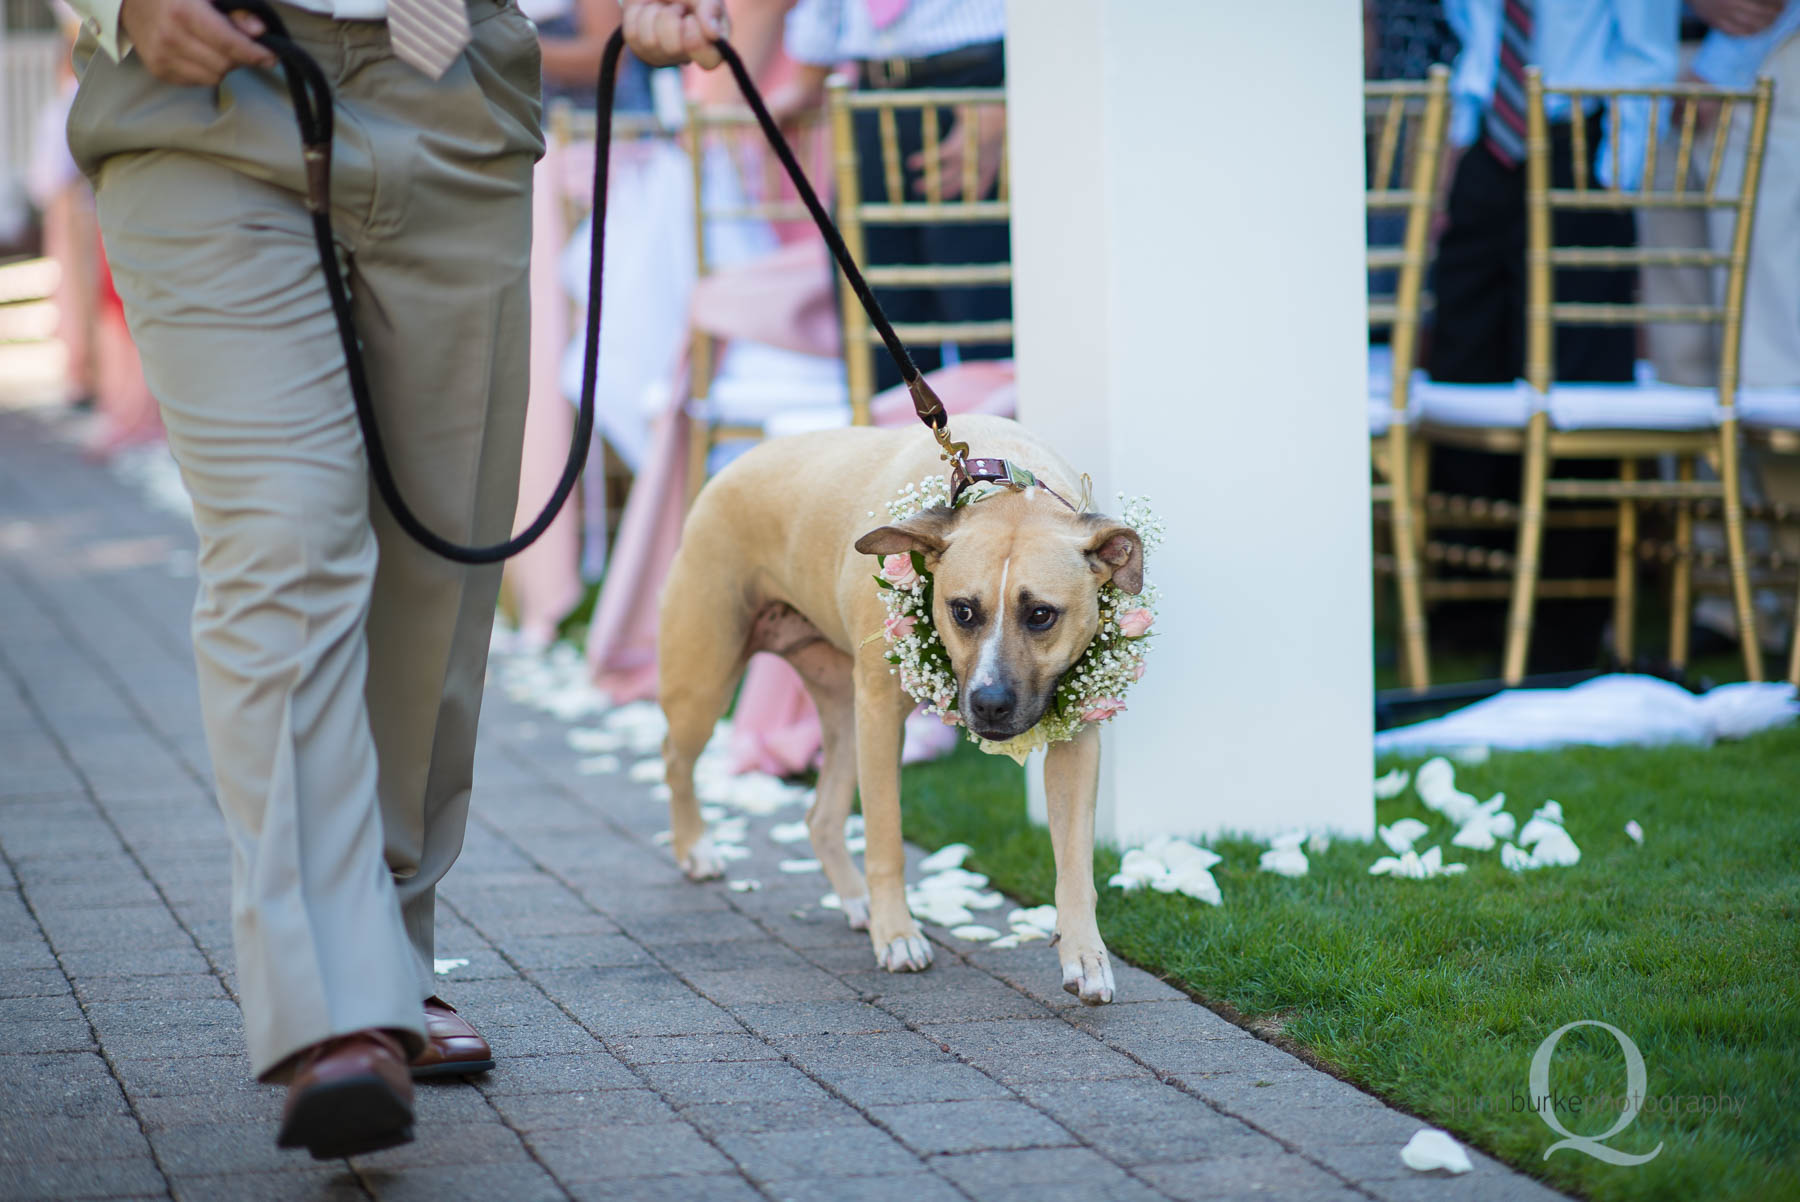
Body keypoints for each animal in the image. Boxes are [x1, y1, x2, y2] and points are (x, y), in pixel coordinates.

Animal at [658, 417, 1137, 1000]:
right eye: (963, 610)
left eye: (1042, 614)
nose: (989, 704)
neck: (1004, 485)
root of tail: (731, 466)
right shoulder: (882, 715)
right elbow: (886, 839)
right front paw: (898, 937)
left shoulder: (1075, 733)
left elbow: (1074, 863)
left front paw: (1086, 956)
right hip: (705, 683)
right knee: (675, 759)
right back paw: (696, 850)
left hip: (843, 713)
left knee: (821, 818)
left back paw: (855, 900)